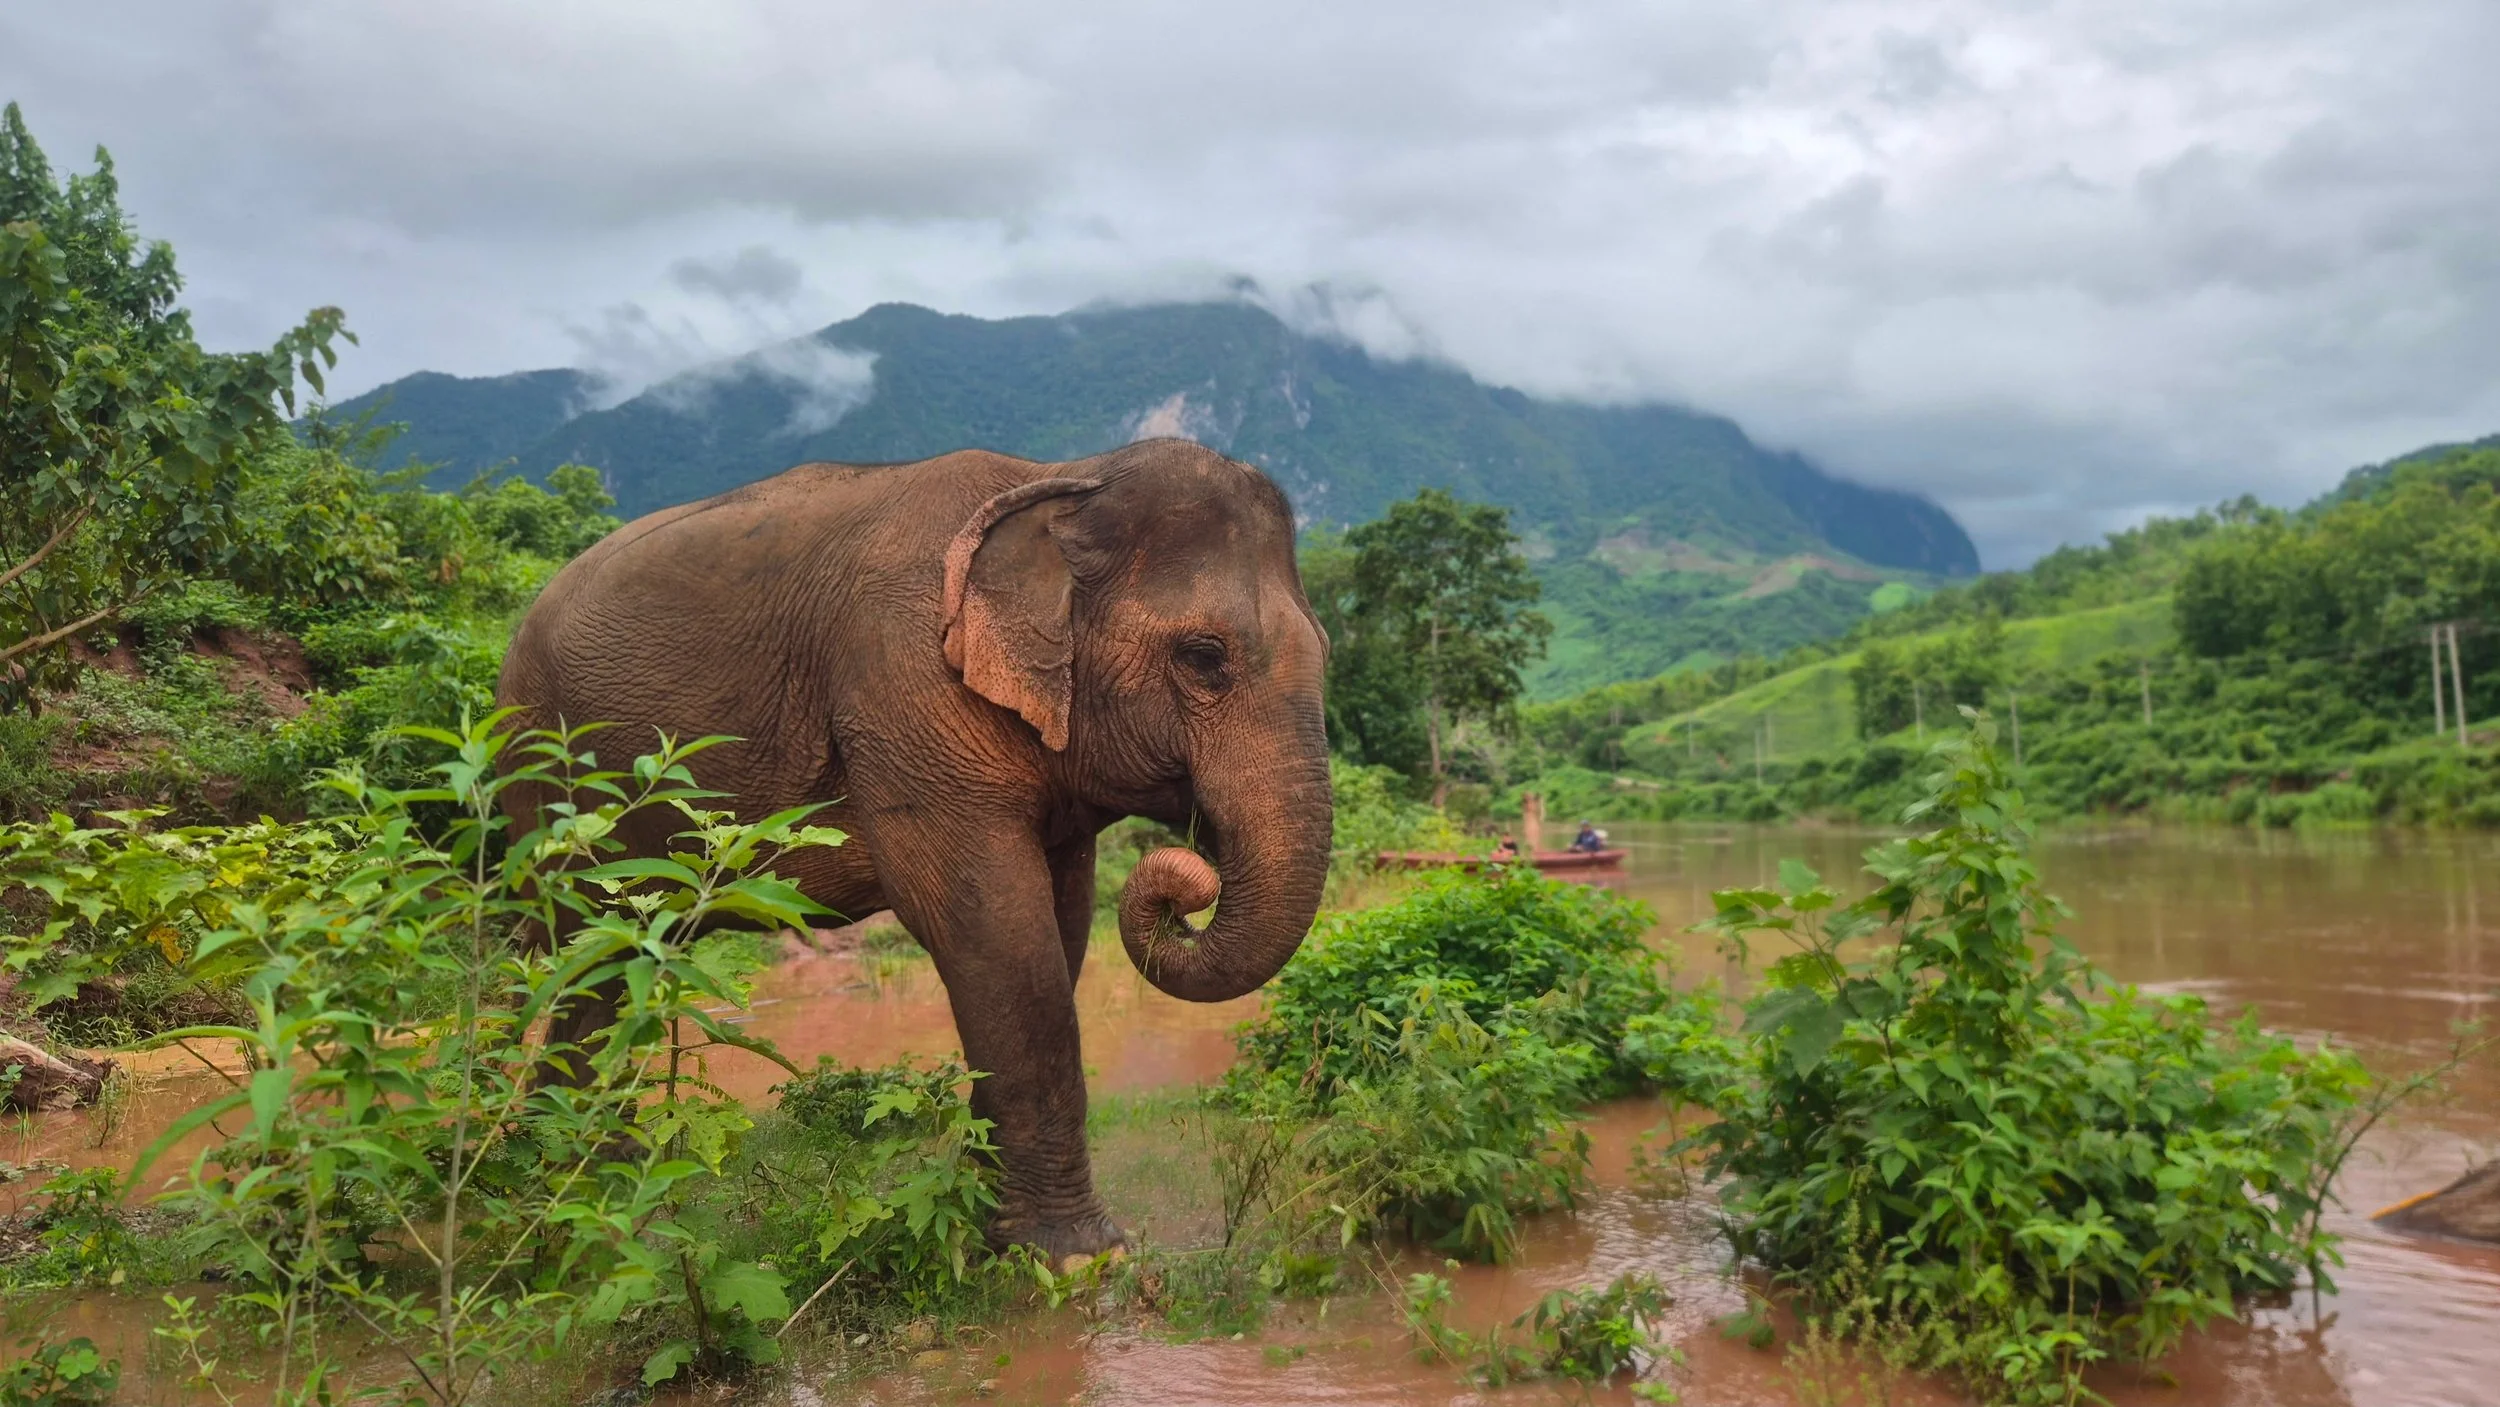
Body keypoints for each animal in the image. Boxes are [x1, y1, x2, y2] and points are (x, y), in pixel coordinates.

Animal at [494, 438, 1332, 1259]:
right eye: (1204, 657)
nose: (1184, 884)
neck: (1061, 479)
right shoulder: (905, 693)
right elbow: (993, 931)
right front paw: (1079, 1258)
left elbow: (1057, 929)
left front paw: (989, 1229)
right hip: (542, 761)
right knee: (568, 939)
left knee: (609, 954)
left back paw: (586, 1175)